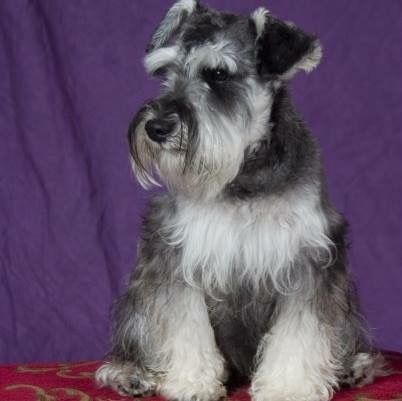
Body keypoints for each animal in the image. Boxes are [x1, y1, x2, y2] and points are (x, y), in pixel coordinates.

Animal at [95, 1, 386, 400]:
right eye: (166, 71)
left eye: (218, 74)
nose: (156, 127)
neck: (245, 175)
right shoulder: (178, 258)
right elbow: (185, 326)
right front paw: (192, 382)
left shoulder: (307, 262)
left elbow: (300, 334)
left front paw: (289, 386)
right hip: (139, 297)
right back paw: (131, 374)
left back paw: (354, 367)